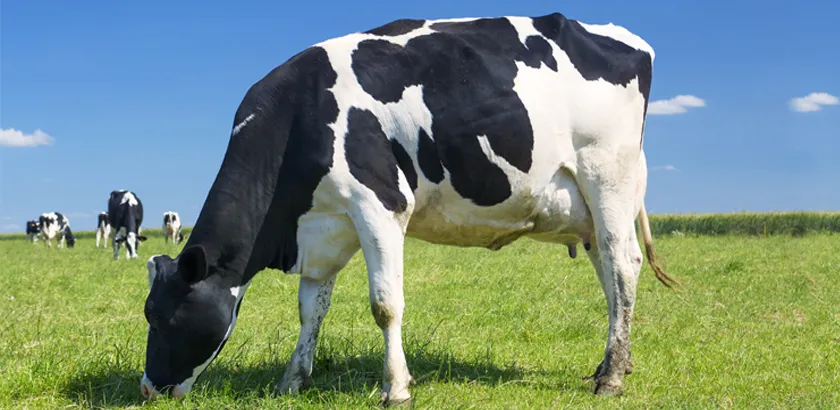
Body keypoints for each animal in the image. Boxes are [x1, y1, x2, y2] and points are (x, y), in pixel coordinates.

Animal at [140, 13, 681, 405]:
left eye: (161, 318)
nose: (147, 388)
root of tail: (623, 36)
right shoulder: (323, 225)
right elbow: (310, 309)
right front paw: (292, 380)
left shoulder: (379, 206)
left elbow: (385, 304)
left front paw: (395, 388)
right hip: (589, 207)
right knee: (610, 276)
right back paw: (613, 362)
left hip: (606, 177)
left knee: (624, 265)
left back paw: (611, 378)